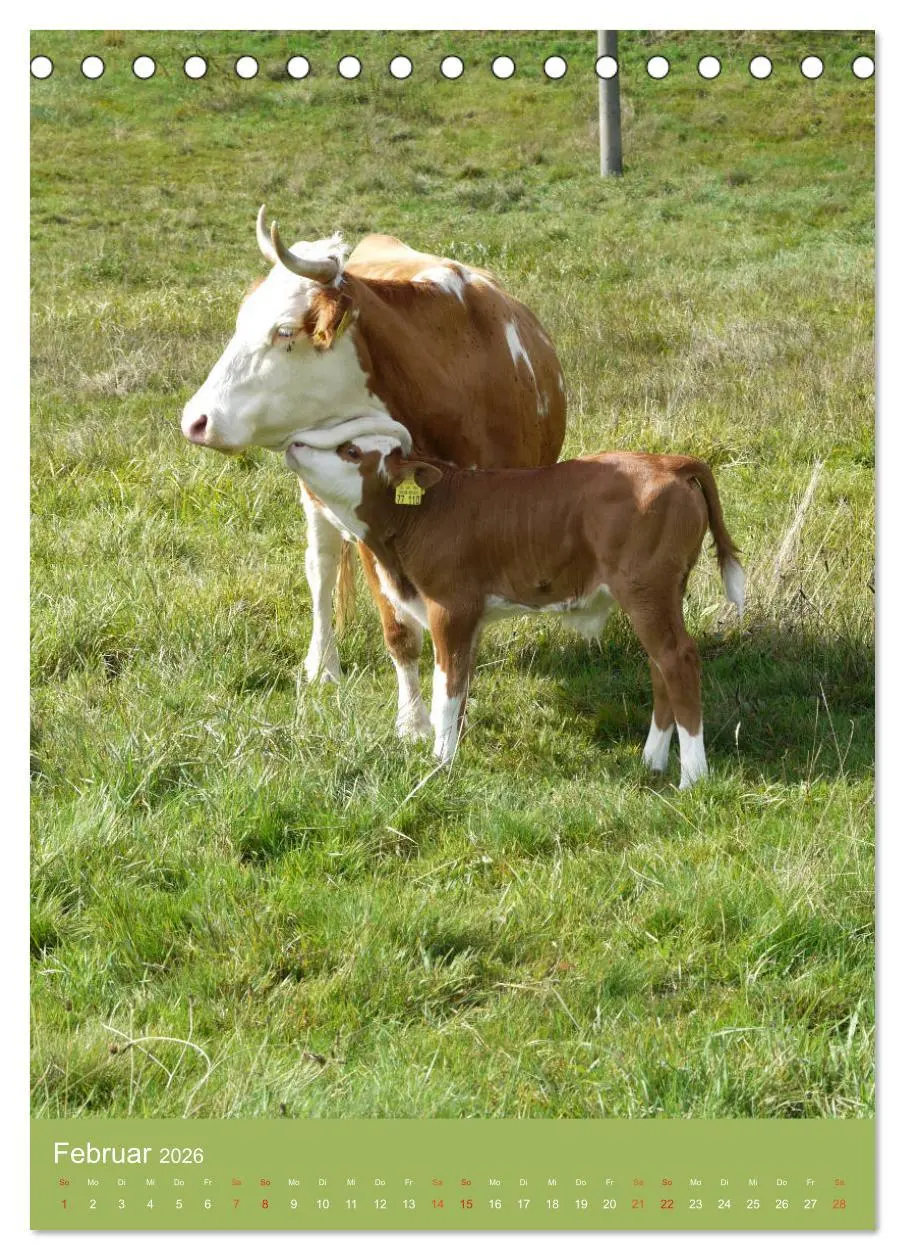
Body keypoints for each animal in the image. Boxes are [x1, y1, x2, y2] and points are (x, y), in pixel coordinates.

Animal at [181, 208, 566, 738]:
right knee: (321, 570)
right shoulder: (372, 531)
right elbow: (399, 630)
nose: (195, 420)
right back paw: (322, 665)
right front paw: (414, 724)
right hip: (316, 501)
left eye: (285, 331)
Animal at [283, 420, 745, 789]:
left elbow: (446, 688)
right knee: (659, 663)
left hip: (646, 588)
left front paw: (440, 762)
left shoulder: (451, 606)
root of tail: (670, 462)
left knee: (677, 660)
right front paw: (450, 750)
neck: (422, 515)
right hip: (660, 593)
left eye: (351, 451)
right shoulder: (467, 616)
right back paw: (652, 761)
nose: (294, 443)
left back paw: (693, 777)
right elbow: (461, 685)